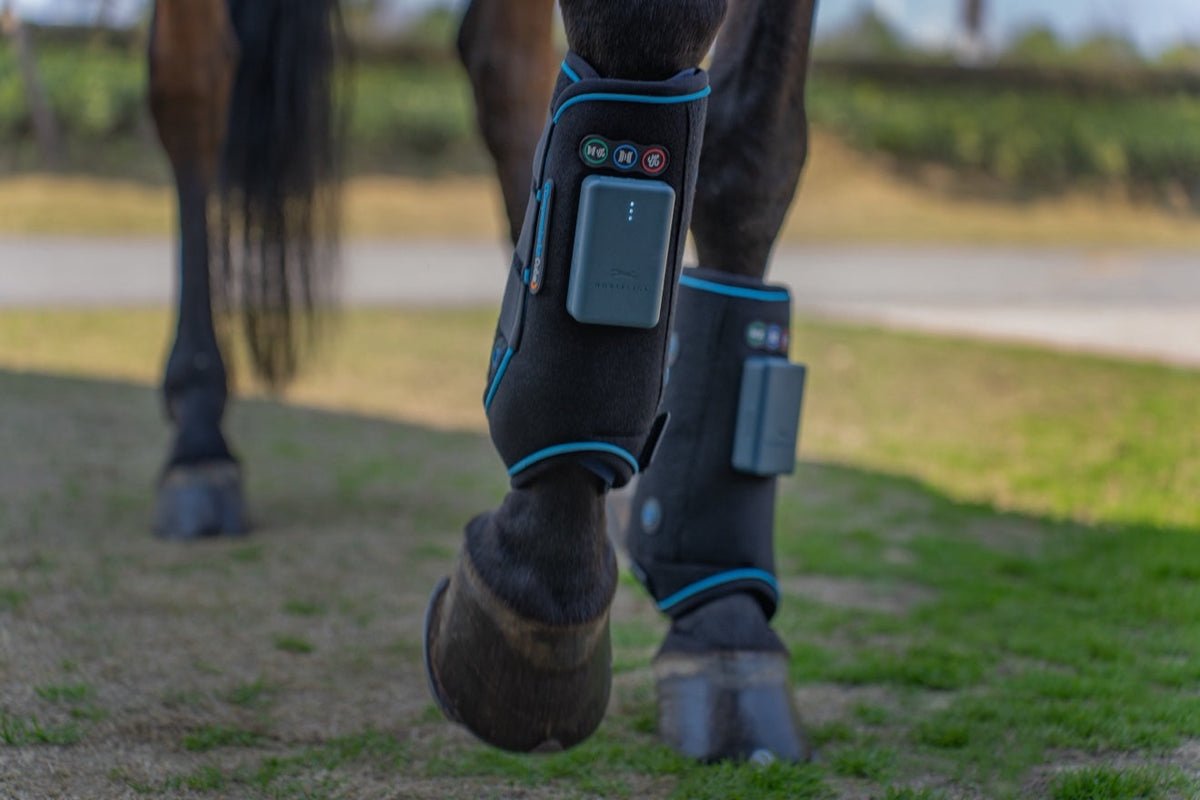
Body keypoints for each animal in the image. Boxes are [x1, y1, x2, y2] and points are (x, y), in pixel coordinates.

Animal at [148, 0, 818, 764]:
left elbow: (751, 145)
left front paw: (722, 618)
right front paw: (538, 581)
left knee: (505, 71)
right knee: (193, 81)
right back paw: (198, 441)